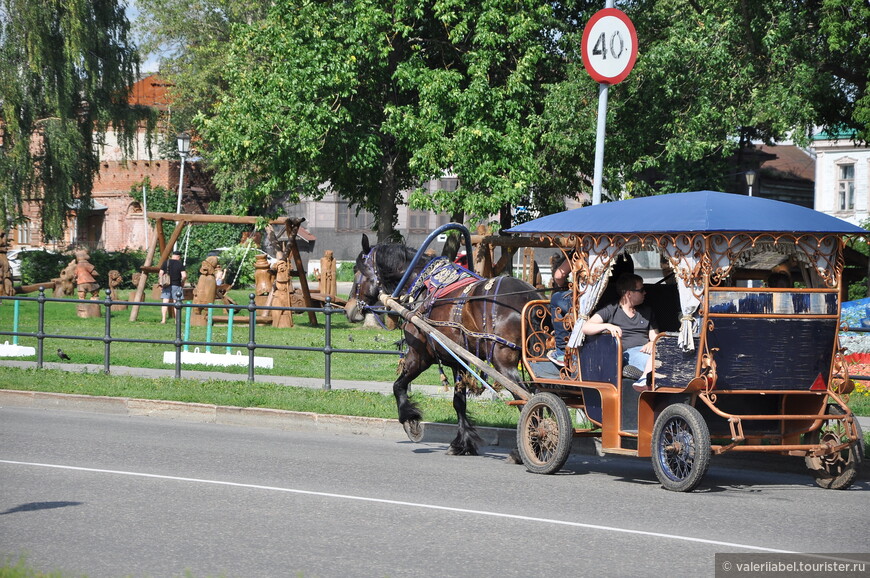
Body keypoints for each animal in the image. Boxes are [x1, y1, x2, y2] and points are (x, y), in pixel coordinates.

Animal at [346, 234, 540, 454]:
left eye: (357, 271)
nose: (349, 308)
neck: (421, 287)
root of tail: (528, 298)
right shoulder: (457, 361)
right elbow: (459, 402)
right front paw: (462, 443)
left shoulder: (420, 356)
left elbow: (398, 386)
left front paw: (411, 421)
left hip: (504, 364)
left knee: (527, 400)